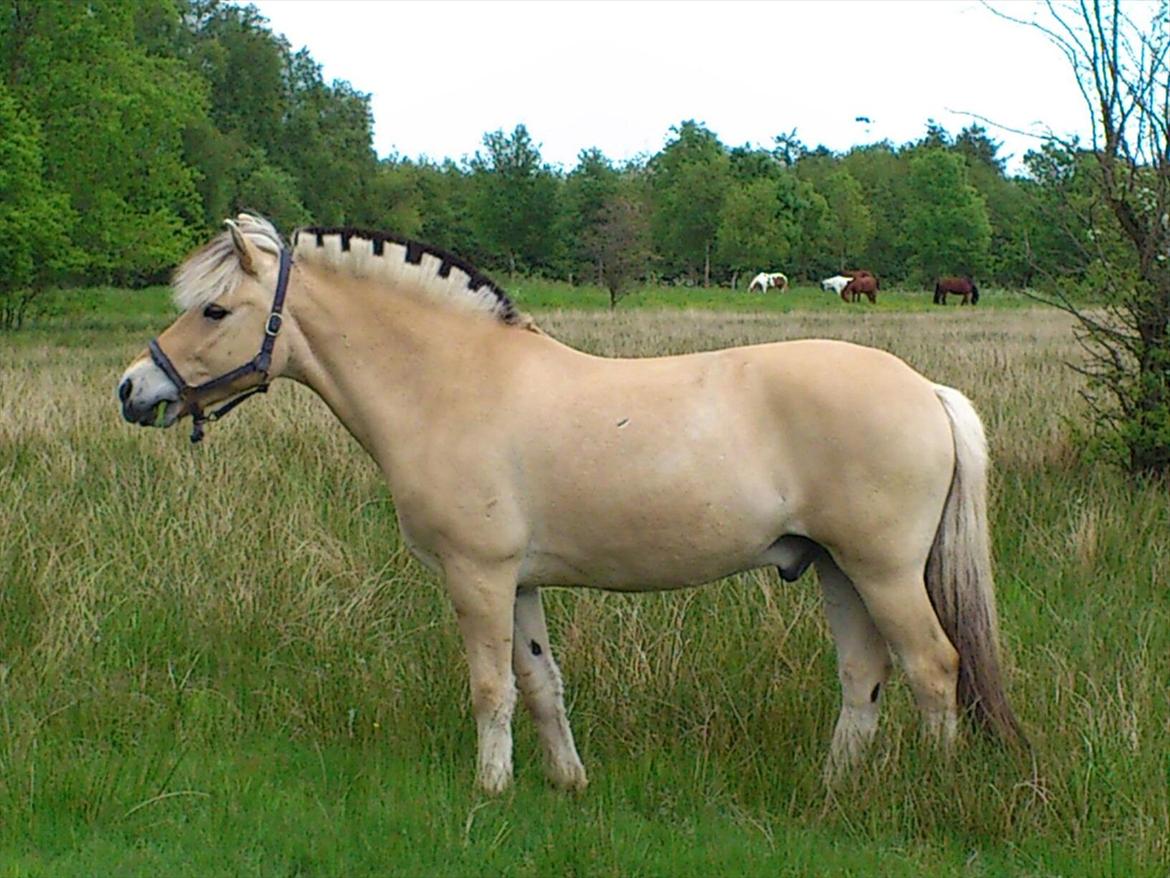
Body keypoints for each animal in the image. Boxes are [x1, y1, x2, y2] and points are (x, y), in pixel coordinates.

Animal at [114, 215, 1020, 796]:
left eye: (214, 309)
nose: (131, 388)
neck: (452, 382)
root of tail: (927, 390)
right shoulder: (518, 583)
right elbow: (540, 682)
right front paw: (567, 783)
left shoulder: (477, 576)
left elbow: (490, 687)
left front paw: (490, 791)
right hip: (837, 569)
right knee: (865, 676)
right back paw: (834, 792)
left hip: (885, 571)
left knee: (934, 669)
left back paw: (934, 796)